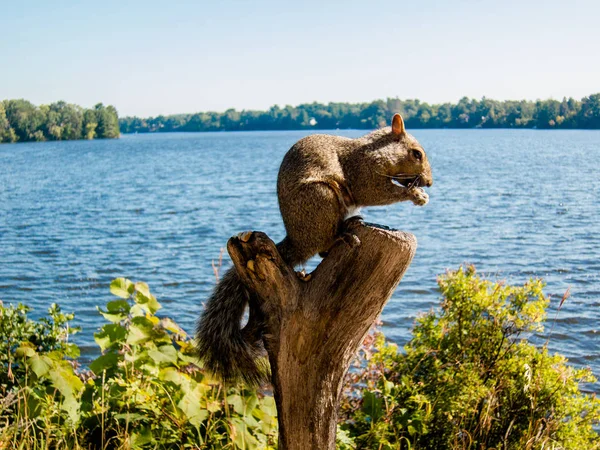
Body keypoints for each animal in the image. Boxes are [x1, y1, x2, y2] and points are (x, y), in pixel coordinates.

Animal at [197, 114, 432, 384]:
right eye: (416, 154)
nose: (429, 182)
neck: (372, 151)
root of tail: (298, 241)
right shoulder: (361, 173)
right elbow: (375, 192)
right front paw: (416, 195)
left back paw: (351, 224)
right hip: (322, 199)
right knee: (322, 246)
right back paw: (342, 236)